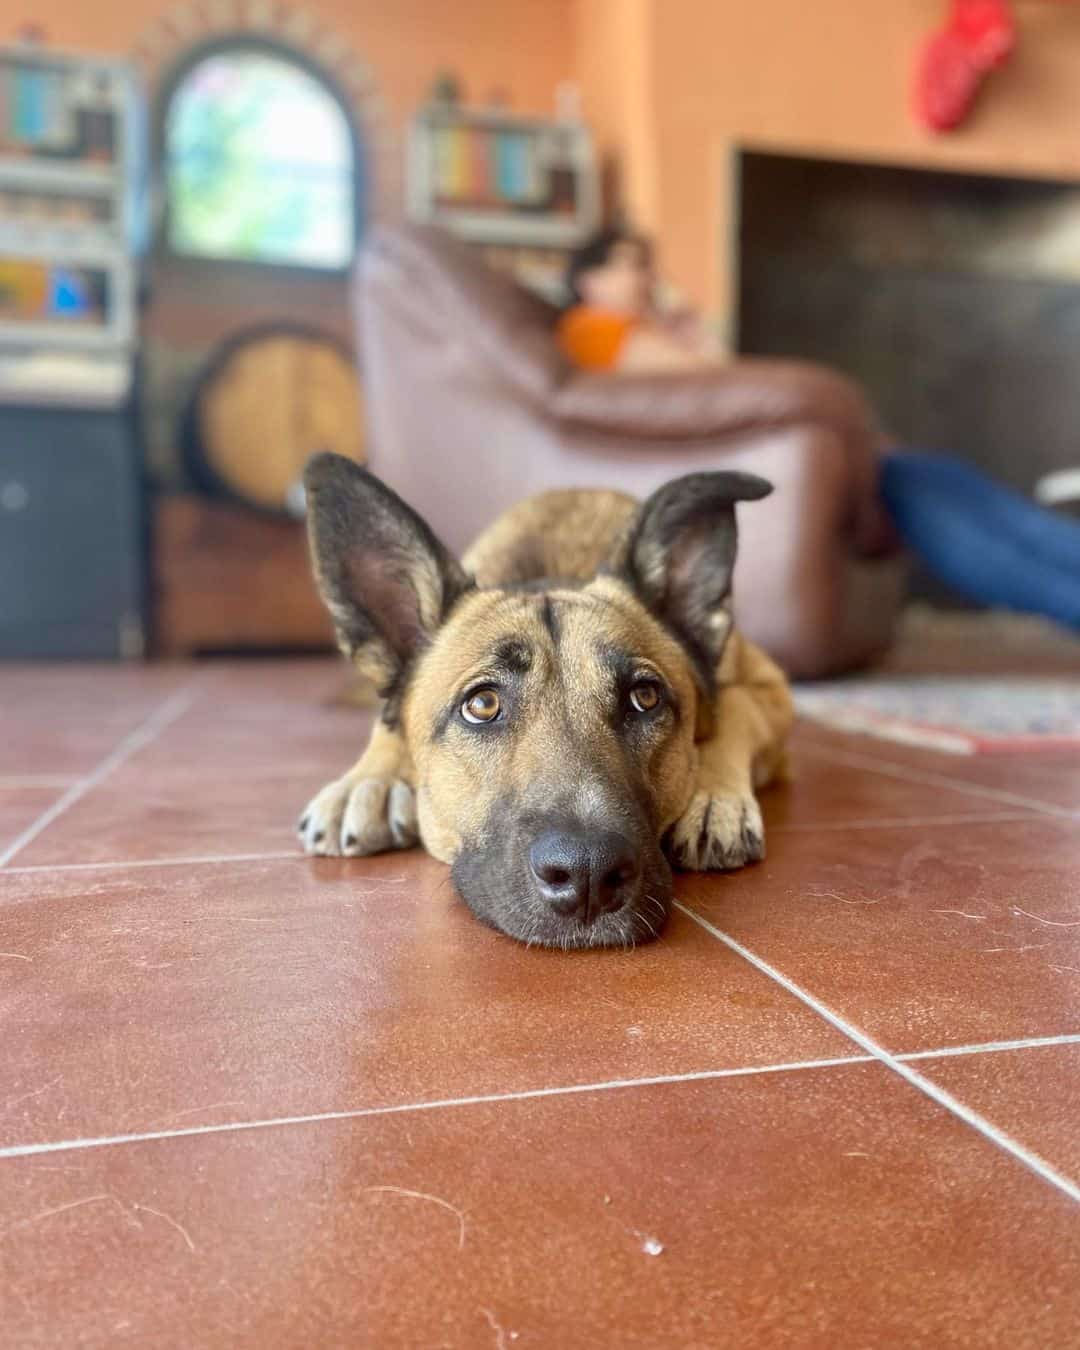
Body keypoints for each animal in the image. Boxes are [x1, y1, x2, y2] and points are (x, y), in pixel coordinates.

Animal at [295, 453, 793, 950]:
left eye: (645, 697)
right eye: (482, 705)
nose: (589, 874)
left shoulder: (771, 690)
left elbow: (735, 709)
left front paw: (715, 798)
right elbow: (387, 725)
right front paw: (368, 780)